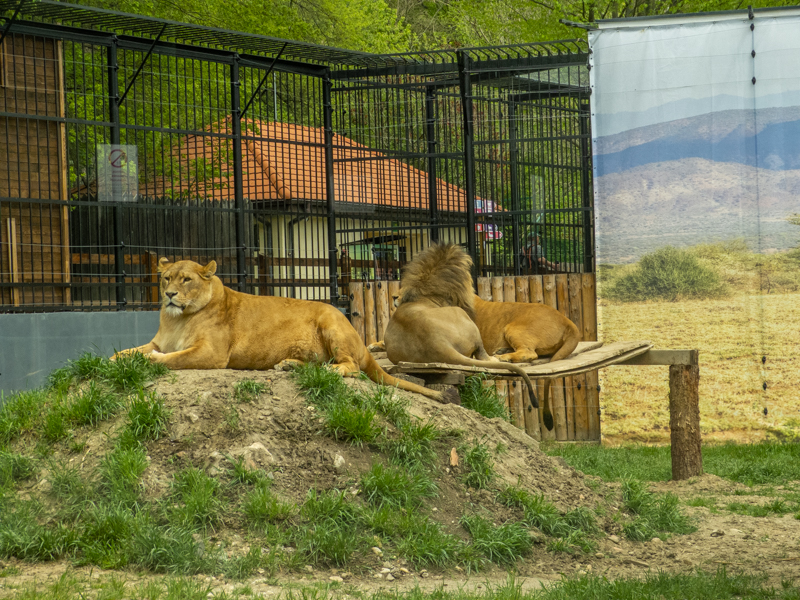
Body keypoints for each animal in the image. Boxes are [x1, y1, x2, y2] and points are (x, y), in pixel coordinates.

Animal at [112, 258, 459, 404]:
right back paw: (290, 365)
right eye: (166, 278)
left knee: (351, 368)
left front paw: (149, 362)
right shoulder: (158, 341)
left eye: (186, 280)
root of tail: (361, 341)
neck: (178, 318)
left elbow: (173, 359)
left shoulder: (212, 353)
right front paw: (117, 359)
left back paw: (329, 371)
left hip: (332, 322)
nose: (170, 295)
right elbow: (129, 350)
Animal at [381, 244, 539, 411]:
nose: (394, 297)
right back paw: (498, 357)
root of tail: (438, 344)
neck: (426, 296)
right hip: (464, 316)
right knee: (484, 356)